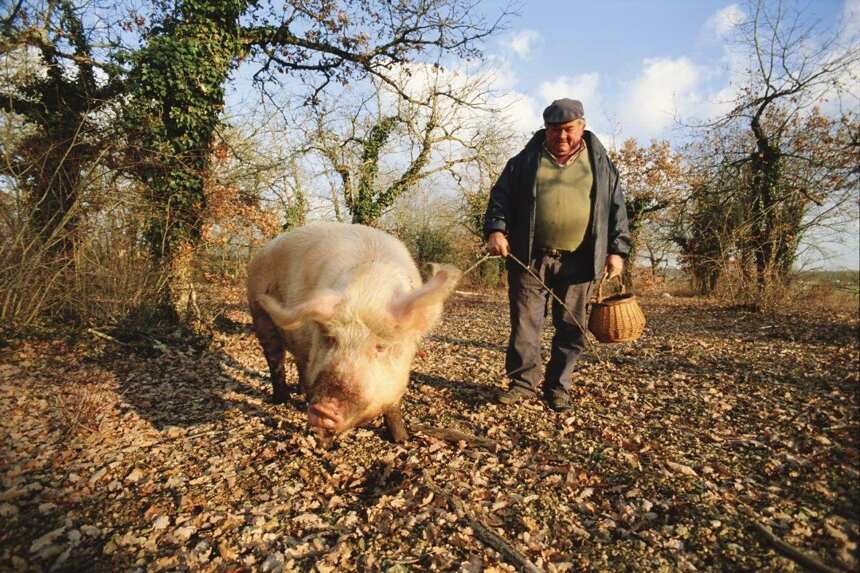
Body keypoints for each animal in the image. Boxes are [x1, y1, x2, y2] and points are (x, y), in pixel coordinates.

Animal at [245, 221, 460, 440]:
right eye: (331, 339)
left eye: (380, 347)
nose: (323, 409)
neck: (369, 289)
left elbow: (393, 407)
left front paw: (401, 440)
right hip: (260, 314)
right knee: (275, 360)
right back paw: (281, 400)